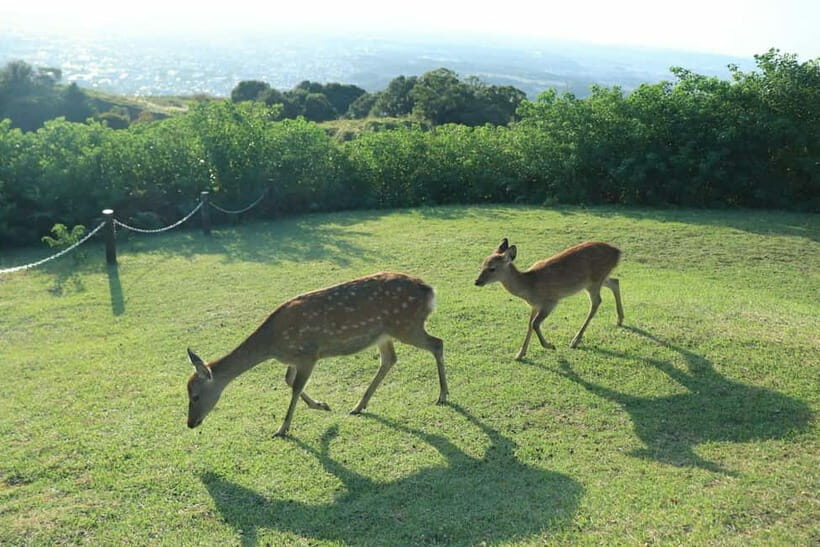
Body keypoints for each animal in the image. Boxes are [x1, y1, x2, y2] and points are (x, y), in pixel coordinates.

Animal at [185, 272, 448, 438]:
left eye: (195, 396)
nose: (190, 423)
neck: (272, 344)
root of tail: (429, 290)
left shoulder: (309, 354)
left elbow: (295, 387)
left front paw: (282, 429)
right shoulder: (295, 358)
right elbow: (289, 380)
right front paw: (321, 405)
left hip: (406, 325)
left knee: (437, 343)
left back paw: (443, 395)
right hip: (384, 334)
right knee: (390, 359)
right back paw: (359, 405)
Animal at [474, 239, 624, 359]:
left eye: (492, 268)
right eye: (482, 264)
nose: (476, 282)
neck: (529, 286)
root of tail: (618, 252)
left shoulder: (550, 302)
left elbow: (535, 324)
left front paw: (550, 345)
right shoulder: (535, 305)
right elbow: (529, 325)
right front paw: (520, 354)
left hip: (594, 281)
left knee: (596, 302)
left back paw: (575, 341)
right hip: (599, 279)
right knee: (615, 282)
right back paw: (620, 320)